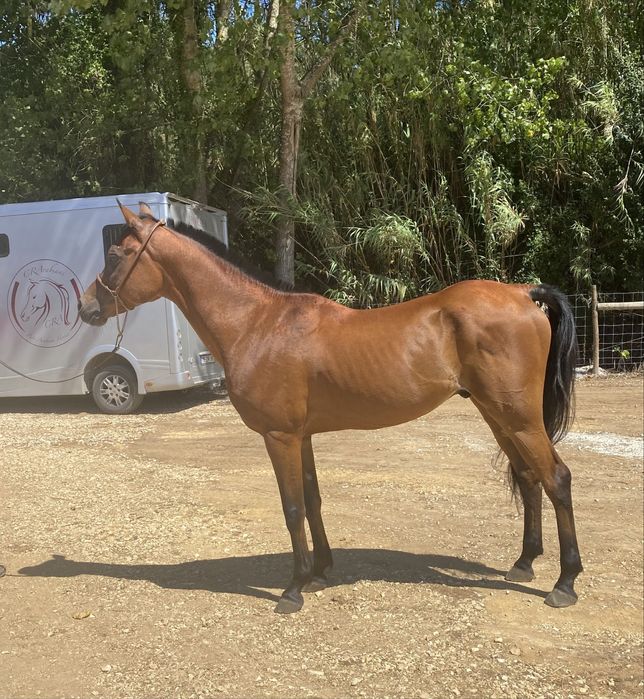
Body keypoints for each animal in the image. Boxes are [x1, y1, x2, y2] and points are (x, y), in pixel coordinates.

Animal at [78, 202, 582, 614]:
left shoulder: (279, 436)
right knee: (529, 477)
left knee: (556, 478)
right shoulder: (301, 436)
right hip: (498, 416)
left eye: (116, 254)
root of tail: (522, 292)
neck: (257, 323)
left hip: (518, 417)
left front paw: (293, 589)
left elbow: (291, 508)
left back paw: (565, 583)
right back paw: (523, 563)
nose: (86, 308)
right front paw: (320, 571)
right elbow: (313, 499)